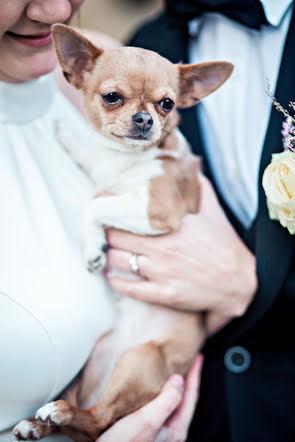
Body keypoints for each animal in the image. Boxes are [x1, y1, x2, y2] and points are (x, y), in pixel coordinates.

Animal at [13, 23, 234, 442]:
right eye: (112, 97)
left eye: (167, 104)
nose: (145, 119)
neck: (124, 159)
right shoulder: (104, 170)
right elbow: (90, 161)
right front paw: (67, 133)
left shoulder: (157, 210)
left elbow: (95, 205)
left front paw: (94, 249)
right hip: (92, 361)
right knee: (86, 416)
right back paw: (38, 421)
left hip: (141, 359)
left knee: (97, 420)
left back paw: (58, 413)